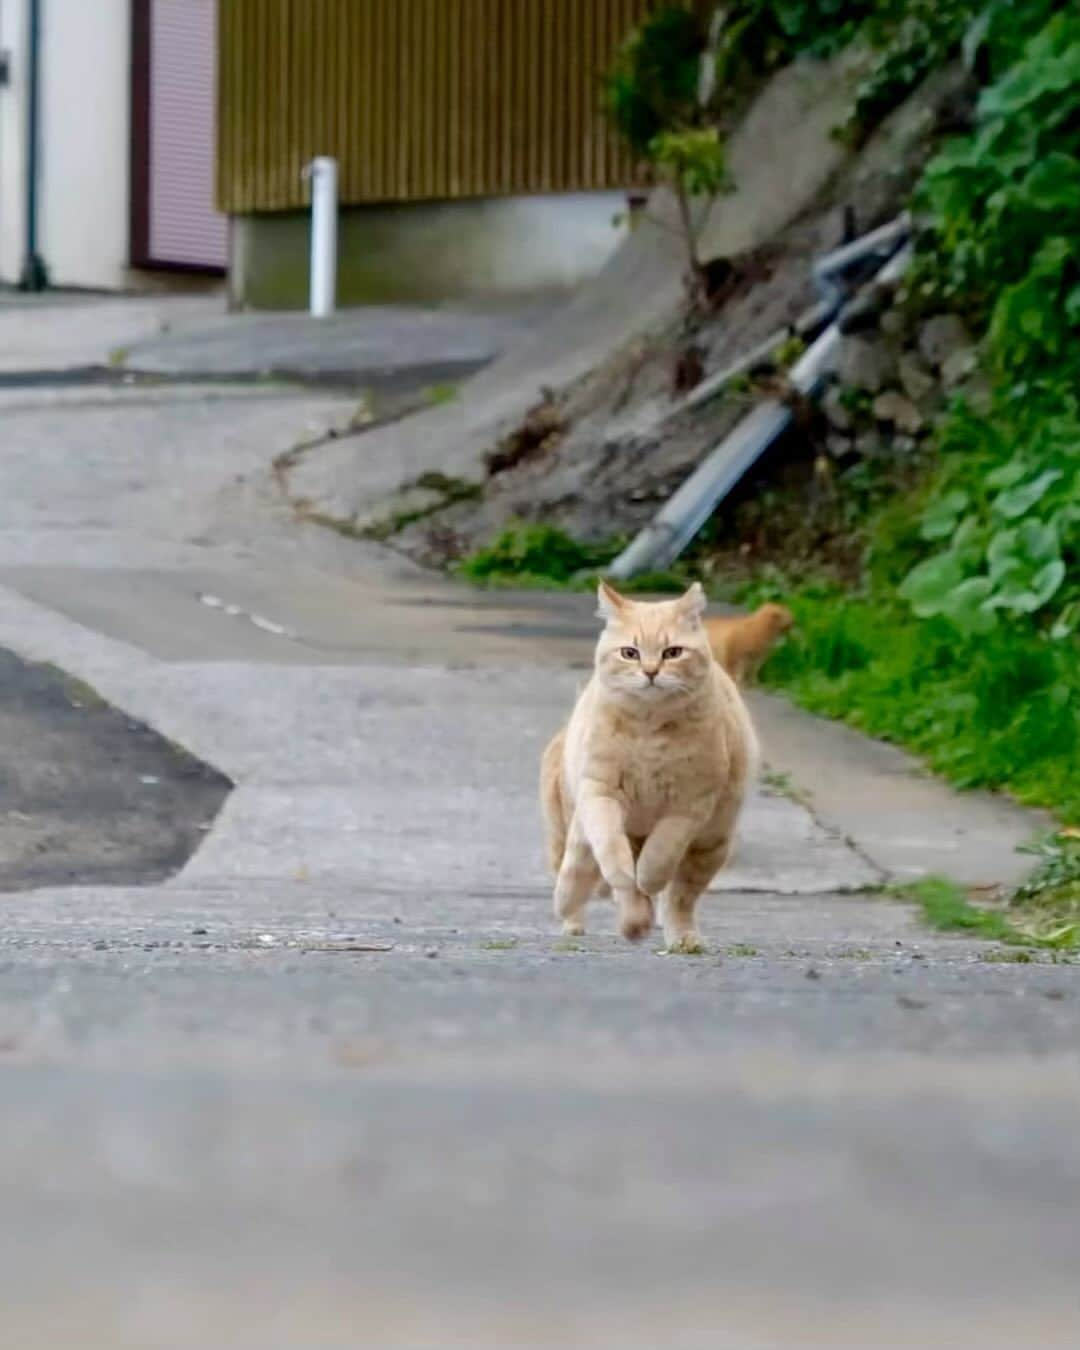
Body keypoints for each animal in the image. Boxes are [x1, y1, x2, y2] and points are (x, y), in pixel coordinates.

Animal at [540, 580, 761, 950]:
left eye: (673, 652)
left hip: (711, 844)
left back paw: (678, 936)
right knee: (581, 872)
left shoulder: (690, 805)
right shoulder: (600, 793)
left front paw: (648, 876)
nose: (651, 671)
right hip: (569, 826)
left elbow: (661, 853)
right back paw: (582, 914)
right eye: (630, 652)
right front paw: (623, 876)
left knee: (679, 899)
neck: (648, 730)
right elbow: (611, 852)